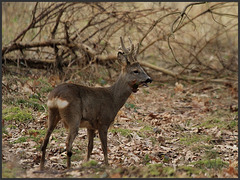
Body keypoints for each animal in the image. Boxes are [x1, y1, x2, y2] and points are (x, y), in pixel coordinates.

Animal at [39, 37, 152, 170]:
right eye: (136, 71)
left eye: (142, 69)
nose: (149, 79)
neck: (113, 99)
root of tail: (56, 96)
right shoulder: (103, 121)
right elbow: (104, 147)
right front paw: (107, 165)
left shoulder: (91, 126)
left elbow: (90, 147)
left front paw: (86, 163)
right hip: (73, 116)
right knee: (68, 142)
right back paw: (68, 167)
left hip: (52, 113)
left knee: (45, 139)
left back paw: (41, 167)